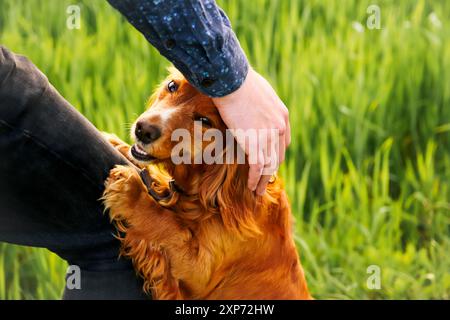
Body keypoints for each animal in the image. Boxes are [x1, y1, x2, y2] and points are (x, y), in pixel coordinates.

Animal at [102, 67, 312, 300]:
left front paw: (133, 193)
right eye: (172, 86)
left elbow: (169, 226)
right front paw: (117, 144)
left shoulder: (199, 275)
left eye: (204, 120)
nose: (143, 130)